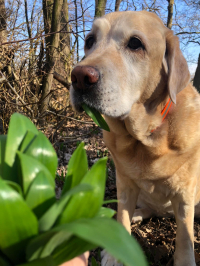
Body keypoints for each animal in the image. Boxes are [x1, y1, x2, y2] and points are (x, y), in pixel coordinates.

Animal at [70, 10, 200, 266]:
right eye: (90, 41)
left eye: (135, 43)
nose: (79, 77)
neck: (147, 137)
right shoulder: (125, 183)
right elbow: (121, 215)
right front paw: (114, 253)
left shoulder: (185, 194)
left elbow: (184, 234)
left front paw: (185, 260)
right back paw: (137, 215)